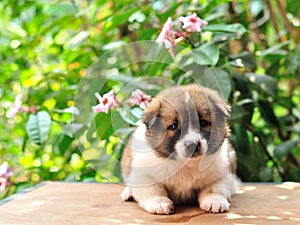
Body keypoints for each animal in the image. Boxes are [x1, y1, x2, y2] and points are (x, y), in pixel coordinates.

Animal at [120, 84, 238, 214]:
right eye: (173, 126)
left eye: (202, 122)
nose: (192, 145)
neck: (186, 164)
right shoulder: (142, 174)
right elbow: (154, 188)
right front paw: (159, 203)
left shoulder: (221, 173)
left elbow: (214, 188)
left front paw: (215, 201)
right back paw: (128, 192)